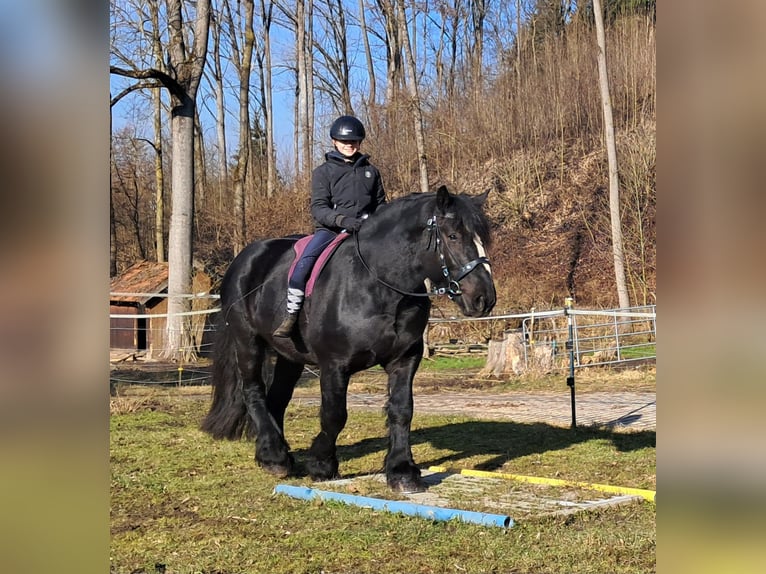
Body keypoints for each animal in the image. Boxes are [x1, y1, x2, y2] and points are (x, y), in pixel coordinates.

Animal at [201, 187, 498, 492]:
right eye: (453, 235)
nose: (484, 299)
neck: (377, 284)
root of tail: (246, 258)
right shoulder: (334, 365)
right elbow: (334, 415)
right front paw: (321, 464)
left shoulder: (404, 360)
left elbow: (402, 410)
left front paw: (402, 472)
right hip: (247, 341)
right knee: (253, 392)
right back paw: (275, 458)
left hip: (289, 356)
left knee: (277, 399)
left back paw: (271, 454)